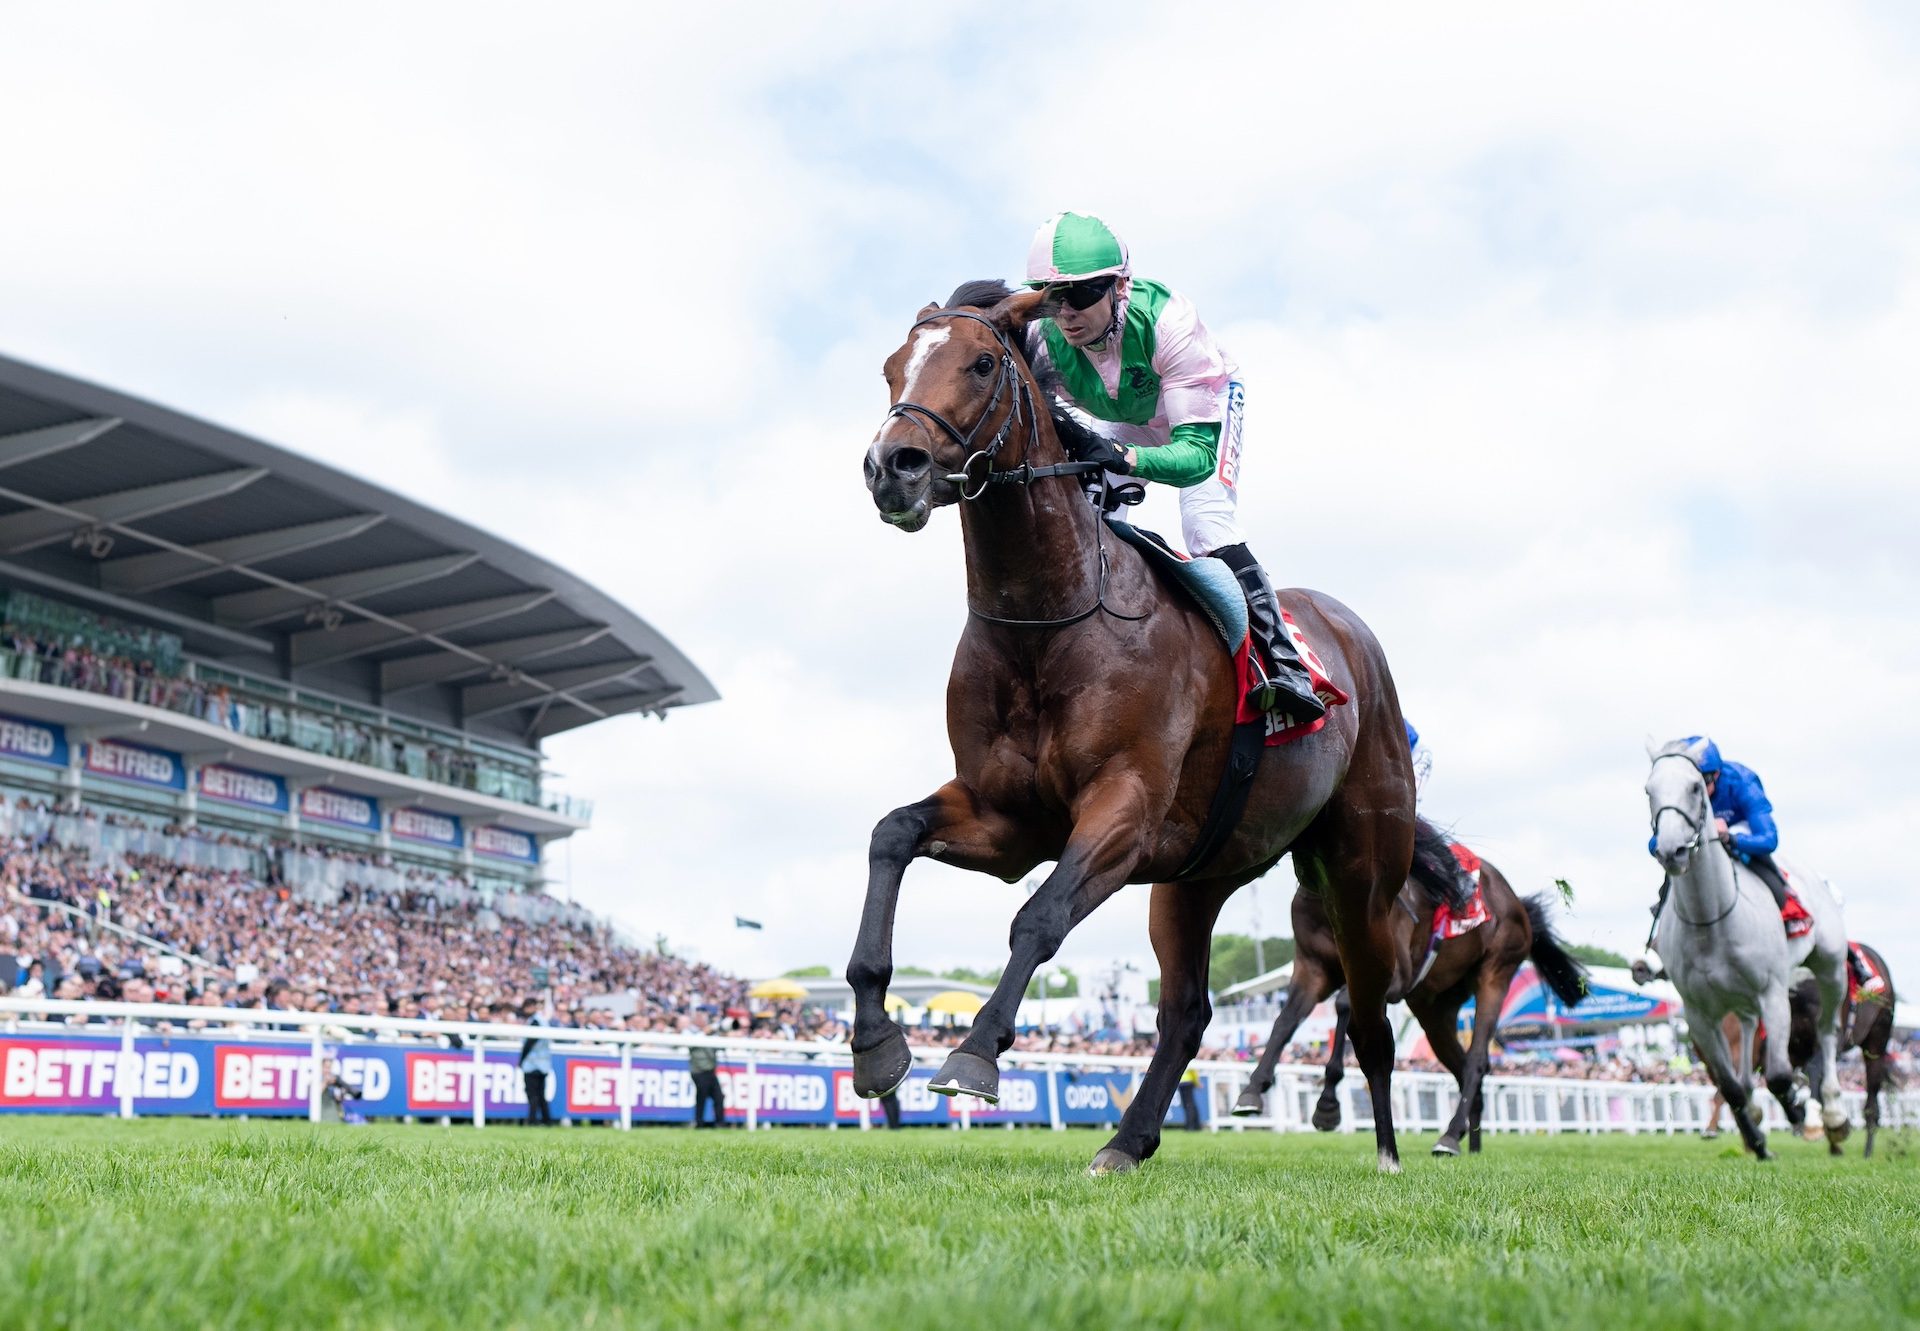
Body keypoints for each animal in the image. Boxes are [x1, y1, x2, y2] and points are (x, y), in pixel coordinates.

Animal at [856, 280, 1428, 1175]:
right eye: (890, 368)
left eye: (981, 363)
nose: (893, 466)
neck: (1050, 616)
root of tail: (1350, 634)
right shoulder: (1006, 818)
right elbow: (891, 834)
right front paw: (877, 1043)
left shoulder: (1121, 807)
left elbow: (1039, 917)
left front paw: (975, 1053)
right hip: (1196, 876)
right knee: (1187, 1012)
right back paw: (1126, 1140)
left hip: (1359, 874)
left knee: (1366, 1010)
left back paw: (1385, 1148)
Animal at [1228, 852, 1589, 1152]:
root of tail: (1517, 901)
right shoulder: (1311, 968)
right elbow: (1284, 1021)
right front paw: (1252, 1091)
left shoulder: (1392, 974)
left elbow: (1344, 1006)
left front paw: (1327, 1106)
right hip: (1434, 1008)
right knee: (1461, 1064)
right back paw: (1469, 1139)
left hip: (1497, 971)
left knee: (1476, 1060)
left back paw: (1449, 1136)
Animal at [1643, 733, 1850, 1160]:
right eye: (1648, 790)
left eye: (1694, 787)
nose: (1670, 850)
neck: (1711, 920)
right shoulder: (1699, 1014)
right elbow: (1730, 1085)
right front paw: (1757, 1141)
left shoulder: (1773, 994)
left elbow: (1780, 1075)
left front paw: (1797, 1111)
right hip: (1739, 1005)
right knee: (1748, 1042)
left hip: (1830, 969)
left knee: (1827, 1034)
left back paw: (1835, 1115)